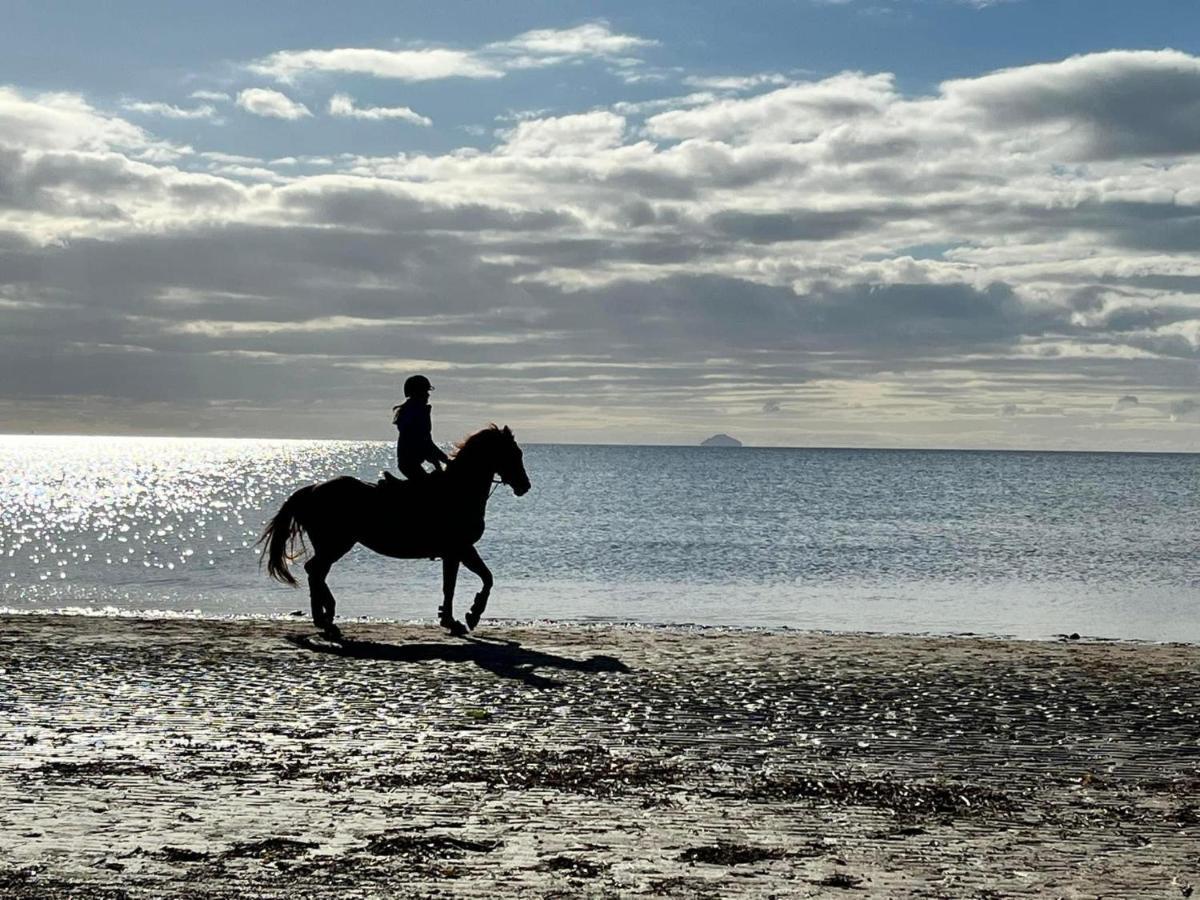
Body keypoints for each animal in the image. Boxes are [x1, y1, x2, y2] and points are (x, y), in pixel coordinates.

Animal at [258, 427, 530, 638]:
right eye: (514, 454)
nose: (525, 486)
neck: (459, 490)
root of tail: (313, 489)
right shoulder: (460, 549)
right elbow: (482, 579)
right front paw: (471, 615)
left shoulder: (454, 553)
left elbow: (455, 585)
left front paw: (451, 619)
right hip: (336, 545)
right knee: (315, 571)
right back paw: (328, 618)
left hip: (331, 546)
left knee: (316, 573)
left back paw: (322, 619)